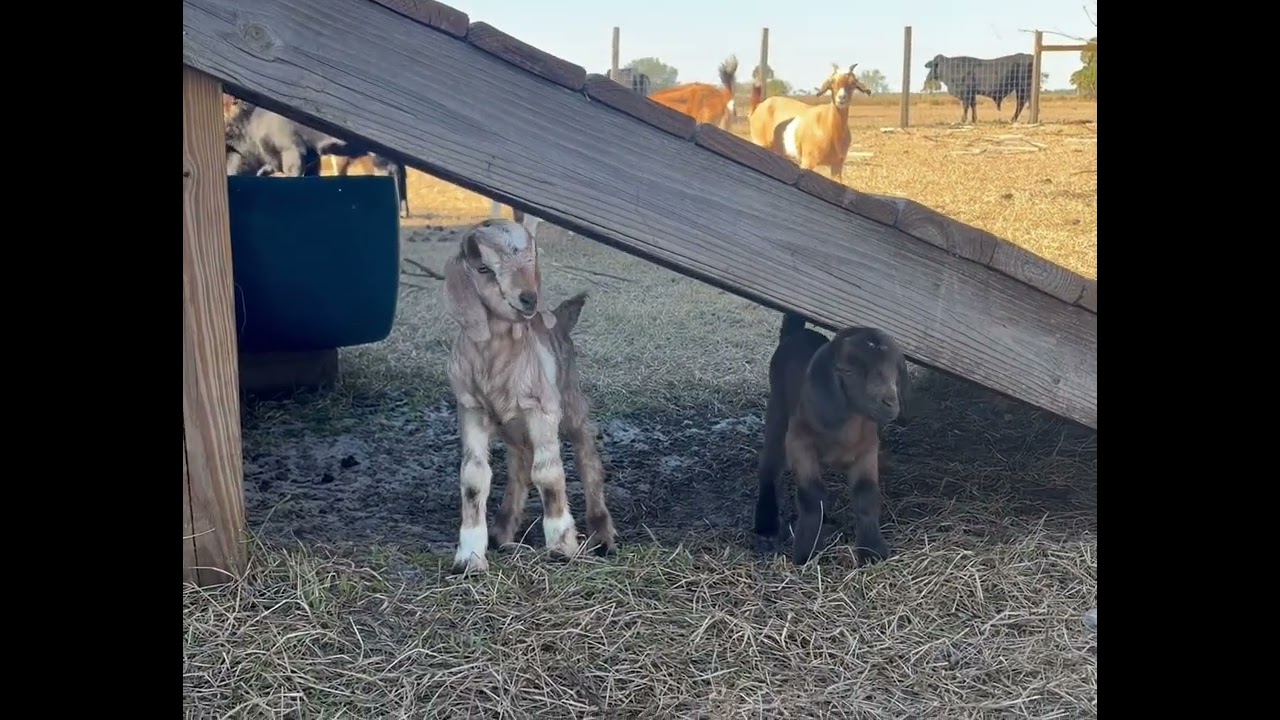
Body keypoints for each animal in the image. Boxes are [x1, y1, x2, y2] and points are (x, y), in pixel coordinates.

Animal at [442, 218, 617, 574]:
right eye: (483, 268)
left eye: (532, 260)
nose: (528, 299)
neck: (497, 357)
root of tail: (559, 321)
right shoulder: (471, 409)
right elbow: (474, 478)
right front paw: (469, 558)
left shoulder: (543, 409)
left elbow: (548, 473)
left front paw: (562, 546)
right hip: (514, 429)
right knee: (519, 464)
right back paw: (503, 531)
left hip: (571, 403)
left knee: (588, 459)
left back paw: (602, 535)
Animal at [753, 313, 910, 566]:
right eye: (847, 371)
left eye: (895, 369)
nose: (889, 402)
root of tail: (794, 335)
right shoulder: (799, 442)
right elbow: (811, 494)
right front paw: (807, 551)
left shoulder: (868, 450)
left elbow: (866, 495)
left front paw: (873, 551)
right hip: (778, 413)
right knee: (769, 467)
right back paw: (766, 524)